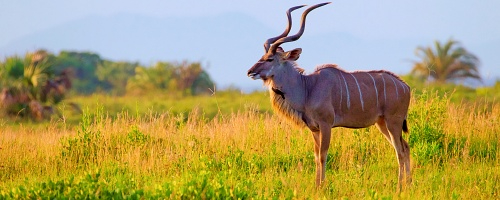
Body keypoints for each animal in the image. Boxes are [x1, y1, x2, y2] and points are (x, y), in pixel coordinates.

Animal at [246, 2, 410, 188]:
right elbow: (316, 156)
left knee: (400, 151)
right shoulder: (314, 129)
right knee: (405, 147)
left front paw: (322, 187)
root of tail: (406, 87)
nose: (250, 72)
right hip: (381, 123)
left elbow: (323, 156)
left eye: (270, 59)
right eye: (262, 56)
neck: (308, 87)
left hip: (393, 122)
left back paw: (400, 187)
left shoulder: (326, 125)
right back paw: (409, 183)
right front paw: (316, 185)